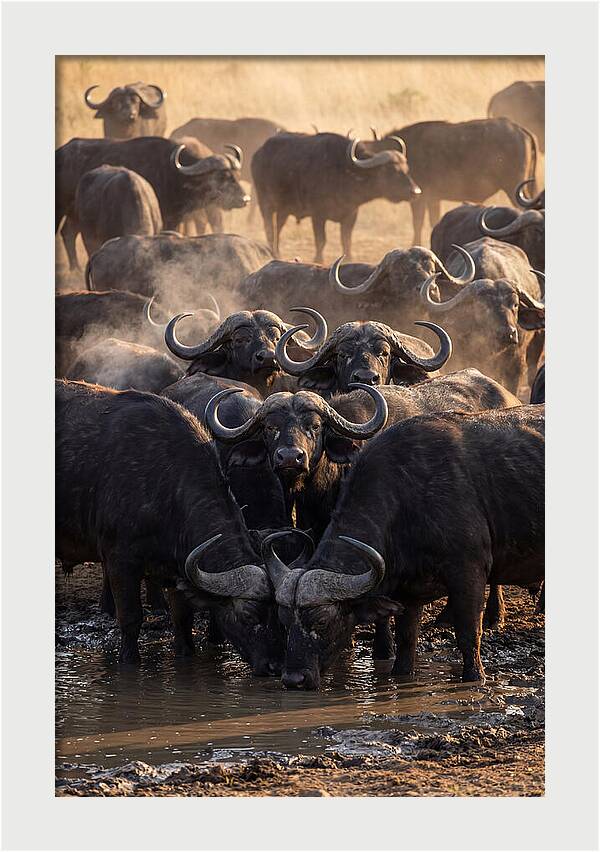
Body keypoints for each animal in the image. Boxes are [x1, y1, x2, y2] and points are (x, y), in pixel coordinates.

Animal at [56, 379, 283, 673]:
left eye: (279, 614)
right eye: (249, 615)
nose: (275, 666)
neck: (166, 484)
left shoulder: (177, 568)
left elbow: (182, 620)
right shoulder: (120, 560)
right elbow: (131, 618)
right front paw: (129, 661)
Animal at [251, 132, 421, 262]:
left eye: (406, 168)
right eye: (391, 170)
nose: (415, 191)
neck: (343, 172)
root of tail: (258, 154)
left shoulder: (351, 214)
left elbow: (346, 240)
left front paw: (349, 258)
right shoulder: (318, 215)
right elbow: (321, 240)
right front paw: (318, 259)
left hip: (283, 209)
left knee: (278, 227)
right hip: (265, 203)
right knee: (269, 229)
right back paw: (273, 253)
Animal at [263, 404, 544, 689]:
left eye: (321, 621)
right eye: (284, 620)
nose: (294, 679)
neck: (408, 499)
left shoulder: (469, 572)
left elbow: (468, 635)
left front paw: (475, 678)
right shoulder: (409, 592)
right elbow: (406, 641)